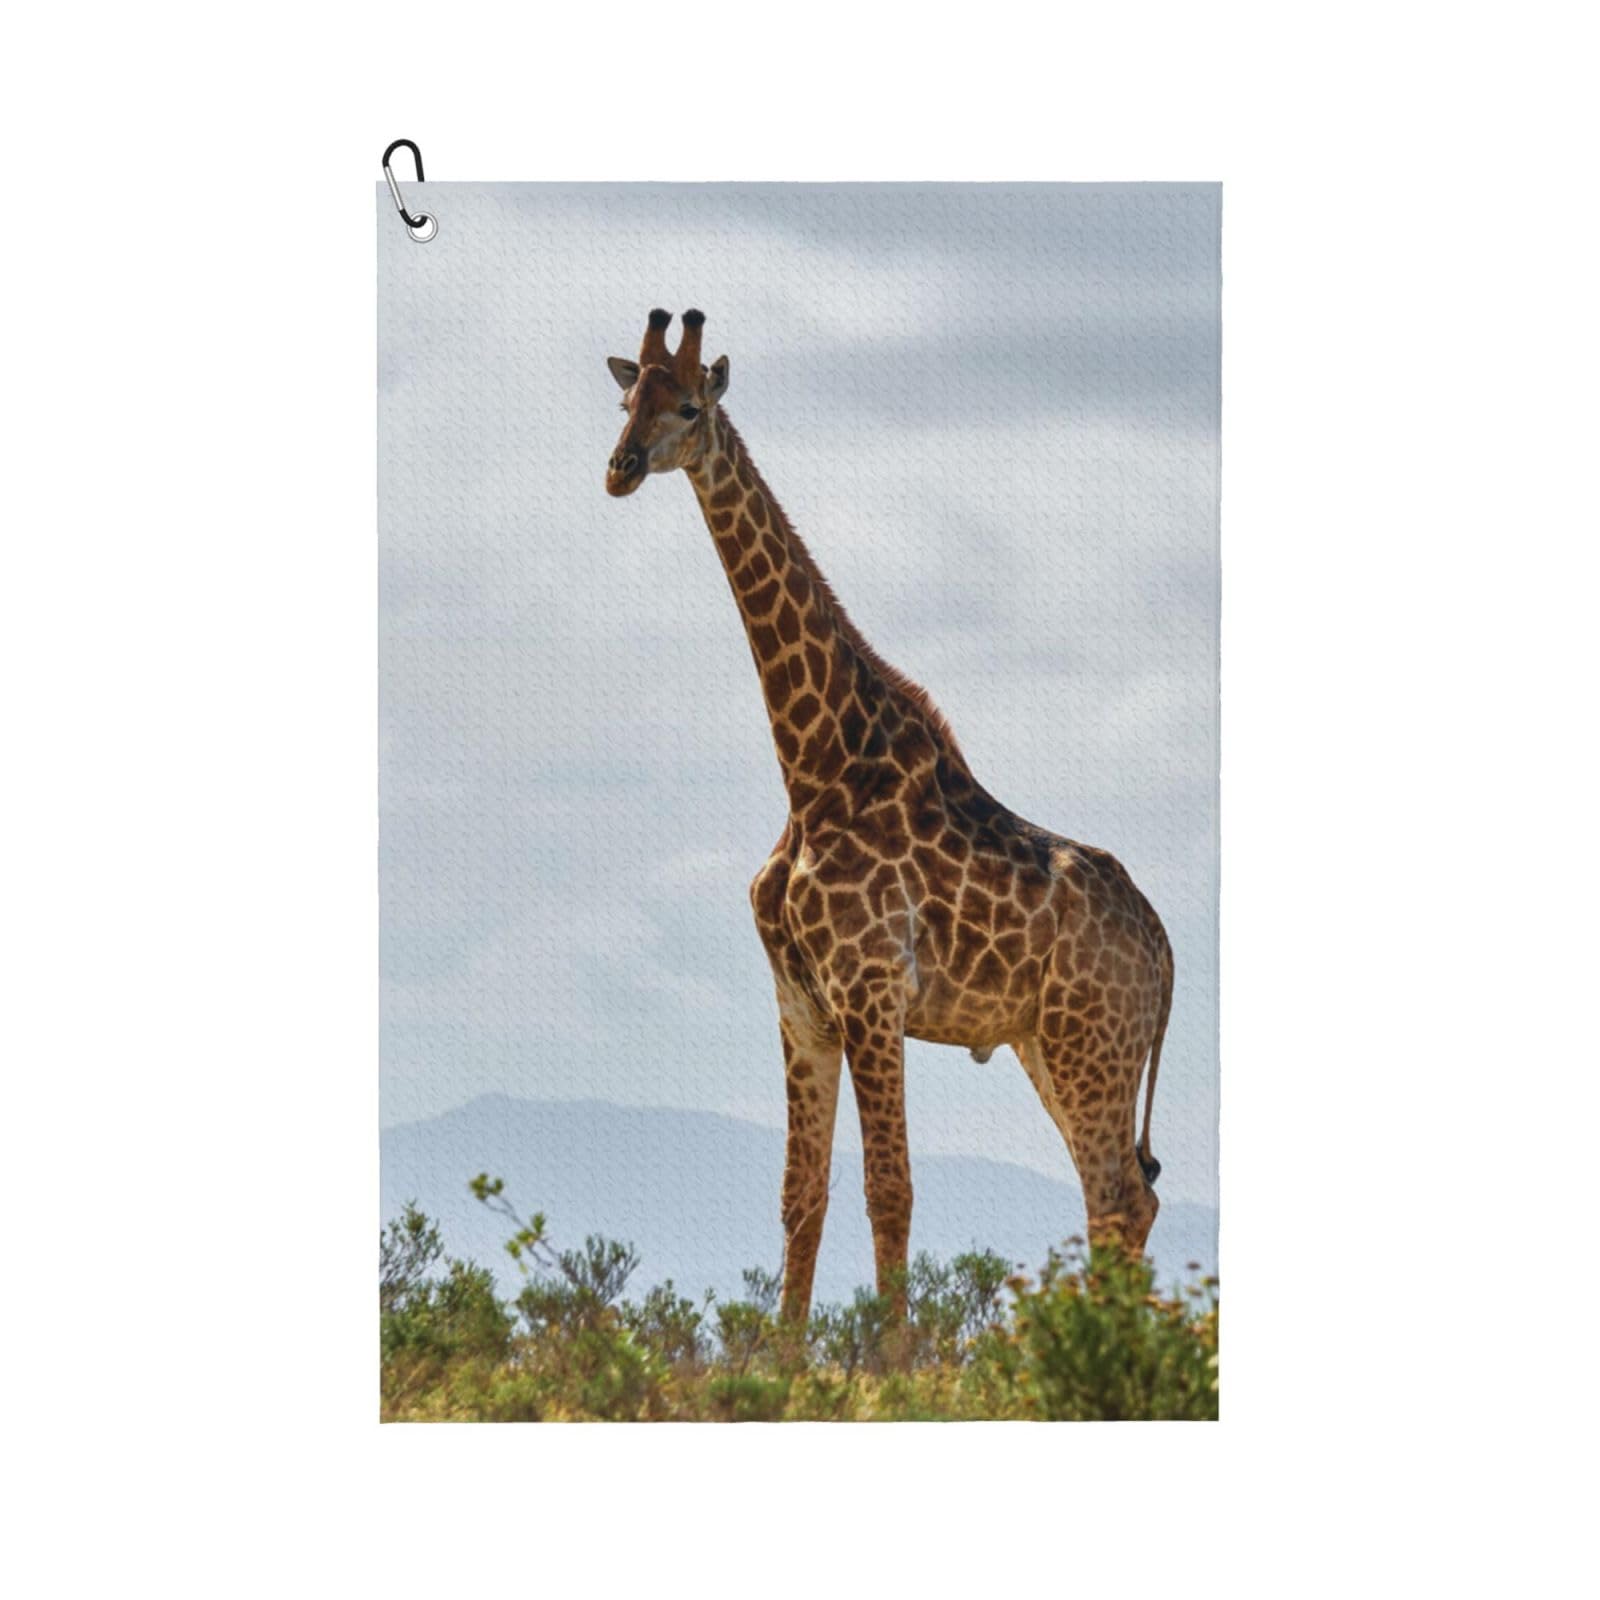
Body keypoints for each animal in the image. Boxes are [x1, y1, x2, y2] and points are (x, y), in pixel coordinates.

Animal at [605, 309, 1175, 1322]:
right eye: (626, 397)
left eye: (689, 405)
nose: (621, 467)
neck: (812, 769)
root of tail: (1165, 949)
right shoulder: (801, 1001)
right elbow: (802, 1194)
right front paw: (784, 1359)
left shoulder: (871, 990)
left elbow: (890, 1191)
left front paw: (889, 1358)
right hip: (1049, 1044)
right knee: (1124, 1197)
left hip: (1093, 1044)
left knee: (1115, 1197)